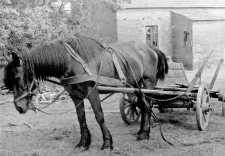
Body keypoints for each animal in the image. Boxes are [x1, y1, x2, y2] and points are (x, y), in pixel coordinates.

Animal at [3, 35, 169, 150]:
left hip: (147, 82)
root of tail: (150, 49)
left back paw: (144, 133)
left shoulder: (92, 92)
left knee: (147, 106)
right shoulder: (75, 96)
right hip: (136, 84)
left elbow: (99, 116)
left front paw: (107, 142)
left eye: (17, 77)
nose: (19, 107)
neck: (71, 62)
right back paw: (141, 132)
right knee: (141, 105)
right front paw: (83, 142)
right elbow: (81, 118)